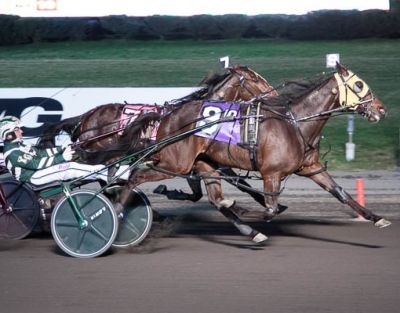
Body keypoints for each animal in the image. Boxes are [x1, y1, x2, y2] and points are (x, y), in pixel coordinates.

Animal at [115, 63, 390, 243]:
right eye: (358, 84)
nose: (381, 109)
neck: (295, 122)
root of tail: (167, 117)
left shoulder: (311, 168)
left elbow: (341, 193)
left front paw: (377, 218)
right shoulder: (272, 173)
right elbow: (270, 209)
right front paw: (245, 208)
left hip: (203, 163)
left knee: (214, 198)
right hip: (175, 163)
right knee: (136, 176)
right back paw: (117, 210)